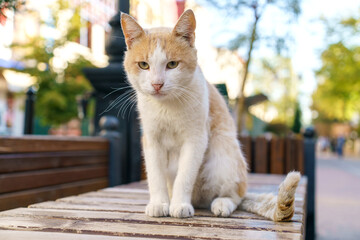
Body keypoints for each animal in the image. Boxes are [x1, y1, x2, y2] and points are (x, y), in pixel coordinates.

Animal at [119, 9, 300, 221]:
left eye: (172, 64)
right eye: (144, 65)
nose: (157, 84)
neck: (167, 107)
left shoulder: (196, 139)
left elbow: (184, 176)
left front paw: (179, 205)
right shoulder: (152, 140)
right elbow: (156, 176)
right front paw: (159, 203)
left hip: (223, 151)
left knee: (236, 195)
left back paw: (222, 203)